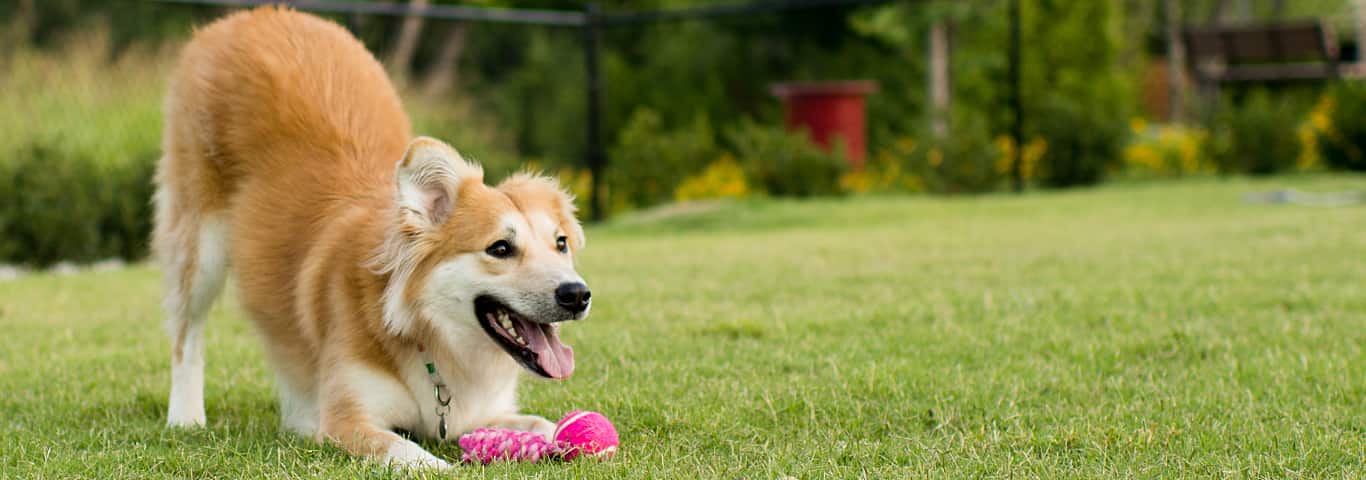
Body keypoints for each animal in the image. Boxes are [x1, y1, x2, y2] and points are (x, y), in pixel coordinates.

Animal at [156, 5, 592, 467]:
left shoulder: (482, 413)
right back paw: (186, 416)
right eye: (501, 248)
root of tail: (255, 15)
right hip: (199, 244)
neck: (427, 334)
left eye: (560, 244)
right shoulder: (348, 421)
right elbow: (413, 454)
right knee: (186, 335)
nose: (577, 294)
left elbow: (543, 423)